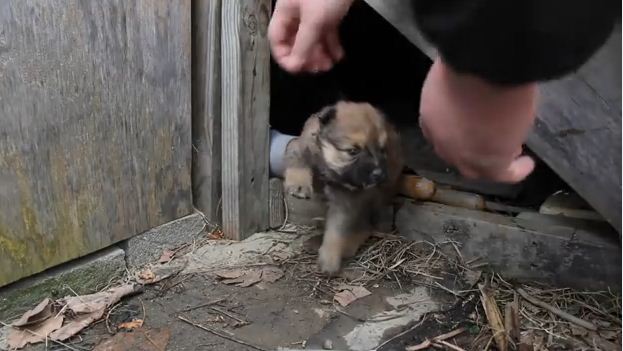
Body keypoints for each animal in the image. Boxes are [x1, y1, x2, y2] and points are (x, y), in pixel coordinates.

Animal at [284, 102, 402, 276]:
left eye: (382, 150)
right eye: (353, 151)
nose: (379, 174)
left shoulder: (347, 200)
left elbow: (337, 230)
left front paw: (330, 258)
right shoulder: (302, 144)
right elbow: (296, 154)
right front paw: (298, 183)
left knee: (365, 226)